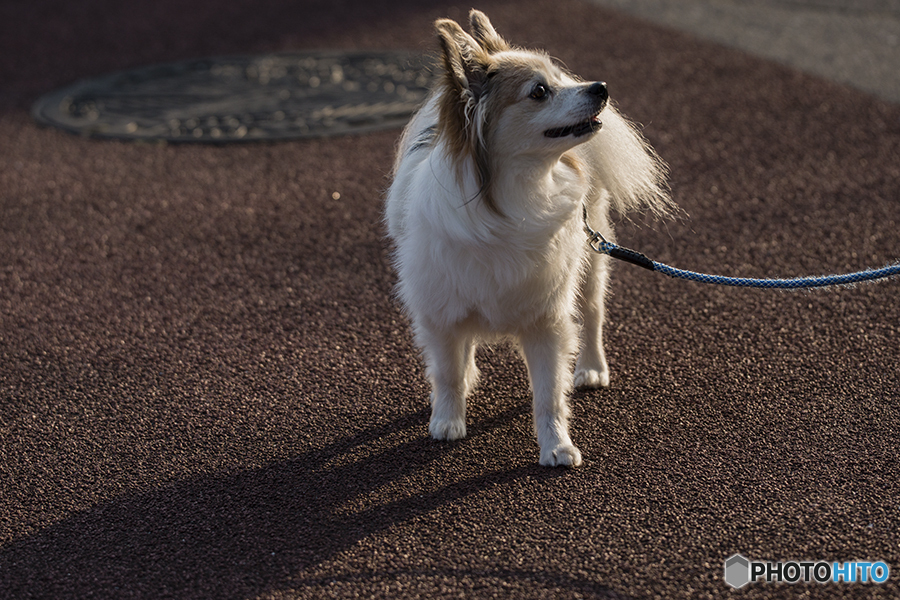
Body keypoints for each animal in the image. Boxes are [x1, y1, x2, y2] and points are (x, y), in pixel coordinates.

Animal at [386, 10, 676, 468]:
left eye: (559, 78)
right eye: (539, 92)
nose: (601, 87)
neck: (519, 193)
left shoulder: (546, 319)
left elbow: (549, 394)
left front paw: (556, 445)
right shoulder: (440, 308)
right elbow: (447, 371)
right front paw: (448, 420)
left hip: (593, 258)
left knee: (593, 314)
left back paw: (592, 368)